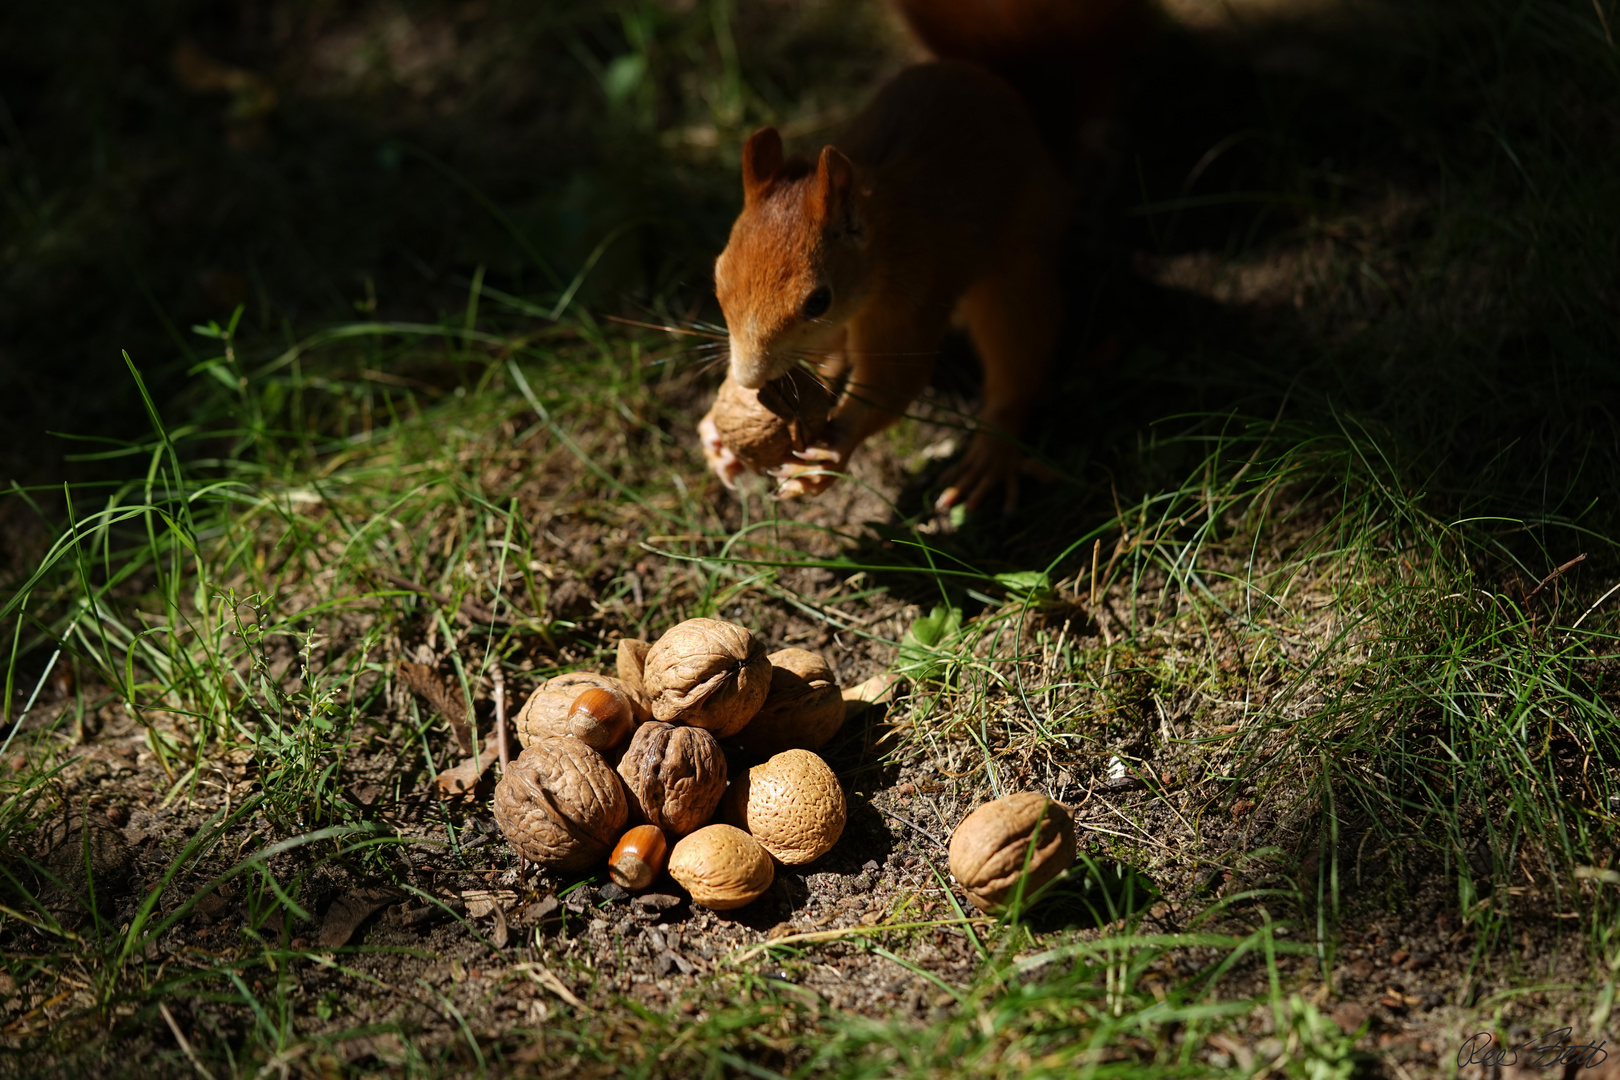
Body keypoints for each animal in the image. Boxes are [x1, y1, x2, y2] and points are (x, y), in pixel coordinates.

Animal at [703, 1, 1146, 514]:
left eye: (818, 301)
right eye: (718, 278)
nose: (748, 378)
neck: (882, 242)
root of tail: (1023, 110)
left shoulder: (910, 296)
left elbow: (895, 382)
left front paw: (830, 453)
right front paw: (716, 431)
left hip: (1020, 264)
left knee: (1017, 359)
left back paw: (991, 453)